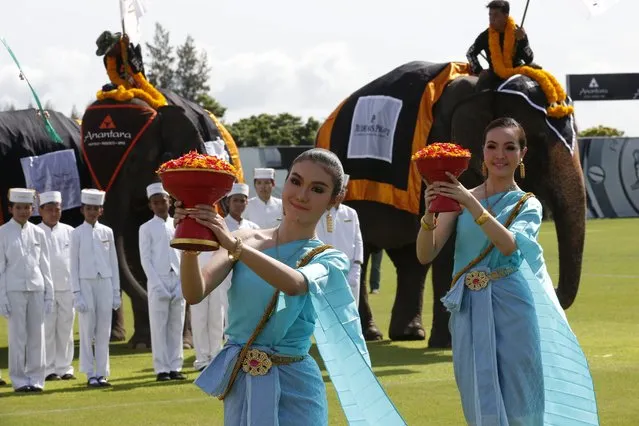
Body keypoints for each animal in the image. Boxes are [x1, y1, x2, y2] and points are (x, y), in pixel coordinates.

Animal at [318, 60, 588, 346]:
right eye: (537, 137)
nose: (553, 287)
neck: (483, 84)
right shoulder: (437, 135)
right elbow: (446, 245)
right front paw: (446, 342)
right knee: (367, 254)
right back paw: (371, 334)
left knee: (410, 259)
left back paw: (409, 333)